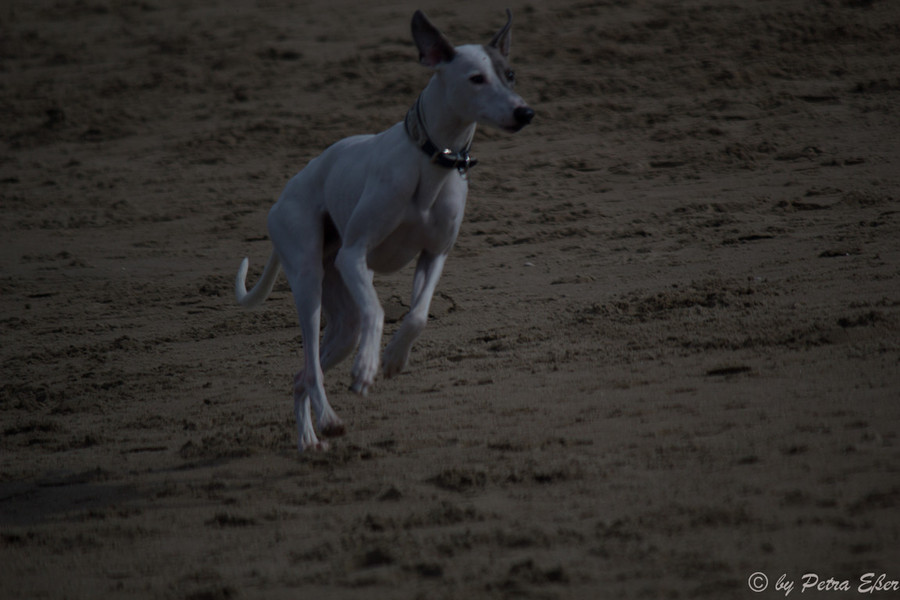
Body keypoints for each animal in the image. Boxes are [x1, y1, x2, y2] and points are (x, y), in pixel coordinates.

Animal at [235, 9, 534, 451]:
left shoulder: (433, 255)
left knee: (303, 373)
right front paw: (366, 369)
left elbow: (418, 316)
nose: (524, 113)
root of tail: (282, 196)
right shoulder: (354, 254)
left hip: (342, 318)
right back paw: (327, 420)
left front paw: (393, 359)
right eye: (476, 78)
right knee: (313, 361)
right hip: (308, 277)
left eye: (509, 74)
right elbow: (378, 310)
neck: (433, 159)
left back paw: (309, 437)